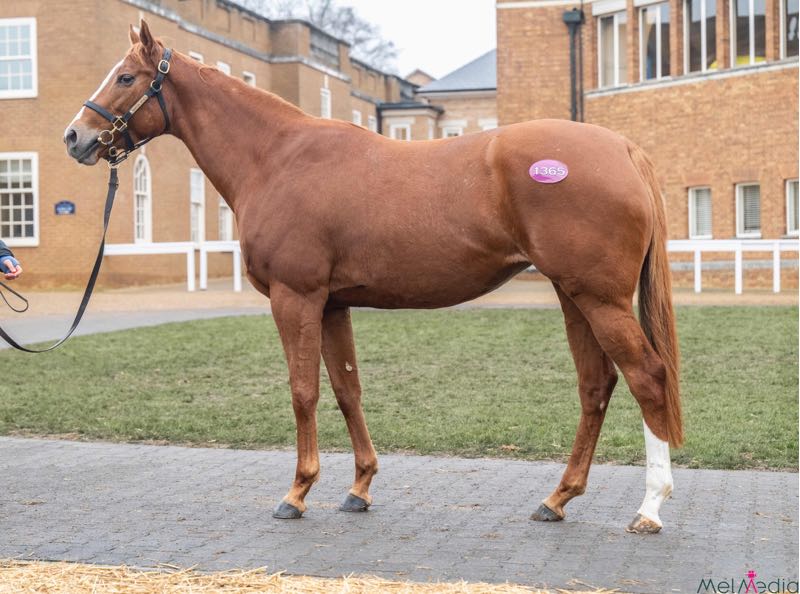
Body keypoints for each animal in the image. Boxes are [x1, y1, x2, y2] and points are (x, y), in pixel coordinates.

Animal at [64, 20, 682, 534]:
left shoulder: (295, 298)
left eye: (125, 76)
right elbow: (347, 390)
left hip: (598, 298)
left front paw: (297, 492)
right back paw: (557, 498)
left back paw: (649, 508)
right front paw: (359, 488)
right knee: (596, 386)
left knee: (647, 377)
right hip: (573, 296)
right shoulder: (333, 304)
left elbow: (304, 391)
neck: (276, 157)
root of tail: (622, 147)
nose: (76, 137)